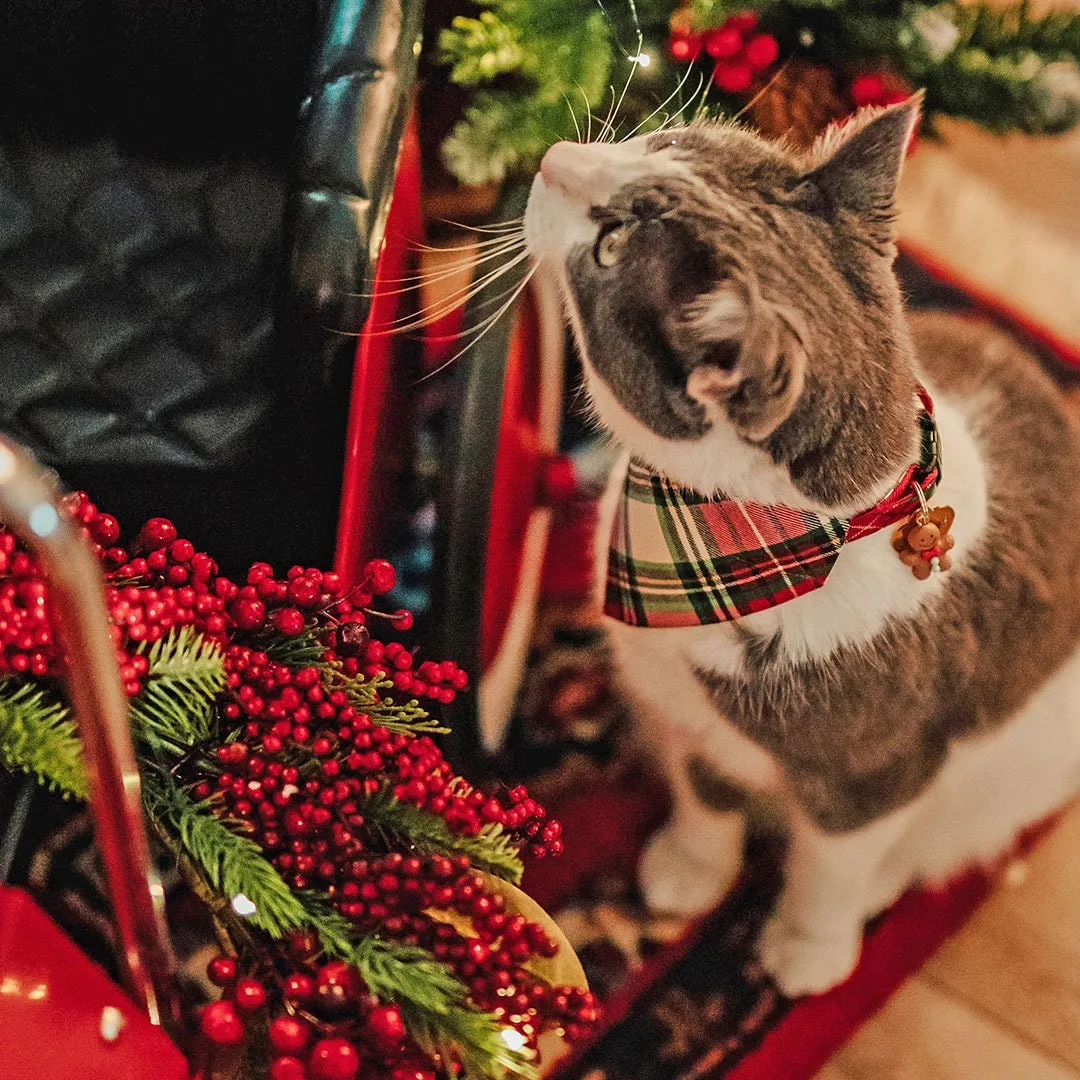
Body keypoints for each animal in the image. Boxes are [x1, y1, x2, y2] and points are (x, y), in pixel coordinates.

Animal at [516, 97, 1080, 997]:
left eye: (606, 248)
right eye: (660, 142)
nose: (551, 157)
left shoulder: (879, 765)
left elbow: (835, 861)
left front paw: (807, 950)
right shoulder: (690, 718)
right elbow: (707, 794)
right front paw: (687, 873)